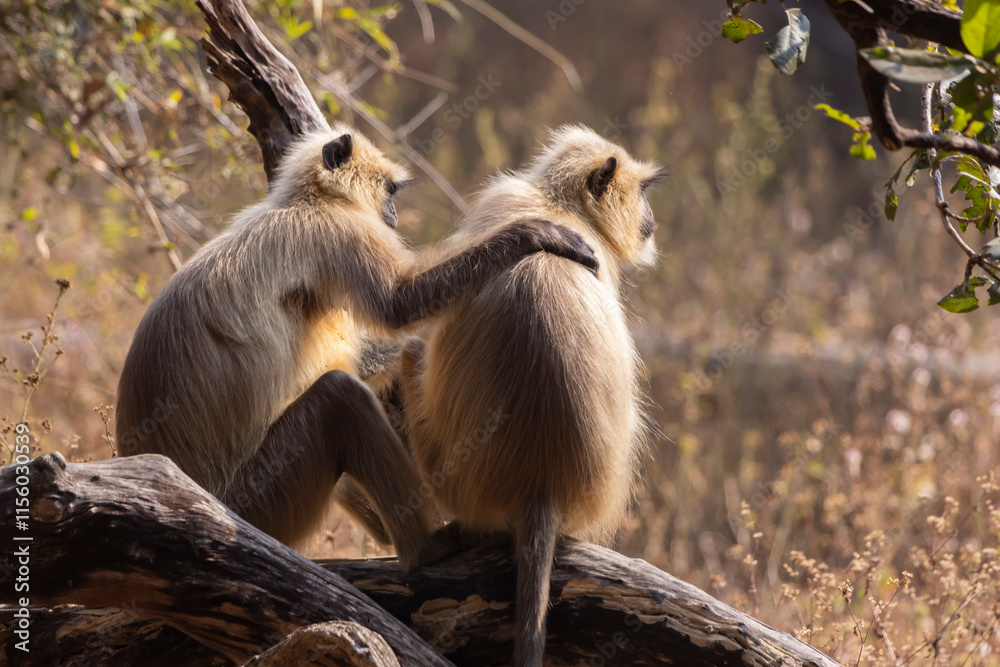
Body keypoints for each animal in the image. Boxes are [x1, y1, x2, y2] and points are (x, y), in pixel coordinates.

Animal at [115, 124, 599, 571]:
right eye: (388, 191)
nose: (393, 213)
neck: (305, 200)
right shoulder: (339, 229)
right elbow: (401, 303)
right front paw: (536, 232)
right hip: (255, 503)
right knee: (340, 398)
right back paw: (425, 548)